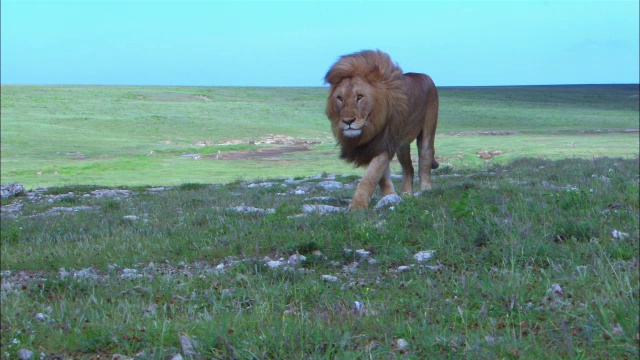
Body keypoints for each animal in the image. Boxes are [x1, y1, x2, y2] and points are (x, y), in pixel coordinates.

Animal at [324, 49, 440, 210]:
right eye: (339, 98)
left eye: (360, 97)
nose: (348, 121)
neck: (371, 125)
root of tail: (424, 75)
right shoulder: (375, 145)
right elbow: (382, 178)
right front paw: (389, 196)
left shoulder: (385, 143)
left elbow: (370, 177)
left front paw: (357, 206)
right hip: (402, 145)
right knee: (408, 168)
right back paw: (406, 195)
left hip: (427, 130)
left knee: (425, 160)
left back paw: (426, 191)